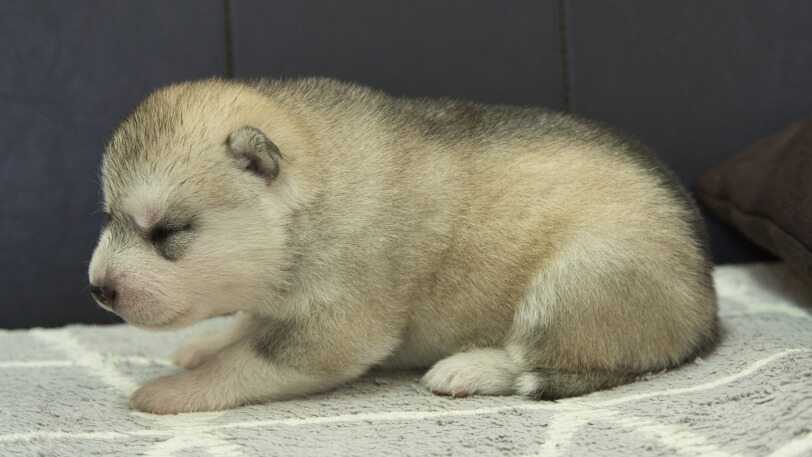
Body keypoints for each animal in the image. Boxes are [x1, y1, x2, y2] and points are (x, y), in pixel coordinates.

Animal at [89, 78, 716, 414]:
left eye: (168, 232)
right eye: (110, 217)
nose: (98, 289)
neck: (314, 192)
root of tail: (708, 312)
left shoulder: (340, 326)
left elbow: (250, 360)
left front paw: (178, 388)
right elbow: (247, 323)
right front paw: (209, 343)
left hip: (580, 278)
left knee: (548, 362)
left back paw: (471, 368)